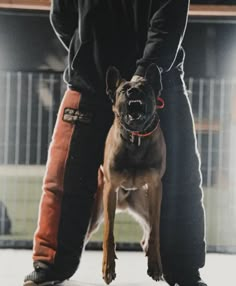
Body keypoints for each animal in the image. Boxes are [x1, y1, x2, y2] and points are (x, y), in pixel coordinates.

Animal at [86, 63, 166, 284]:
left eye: (145, 88)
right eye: (123, 90)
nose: (133, 92)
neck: (136, 138)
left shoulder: (155, 188)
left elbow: (156, 232)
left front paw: (155, 265)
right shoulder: (110, 189)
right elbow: (109, 234)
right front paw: (108, 267)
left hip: (144, 205)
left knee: (148, 228)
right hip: (96, 213)